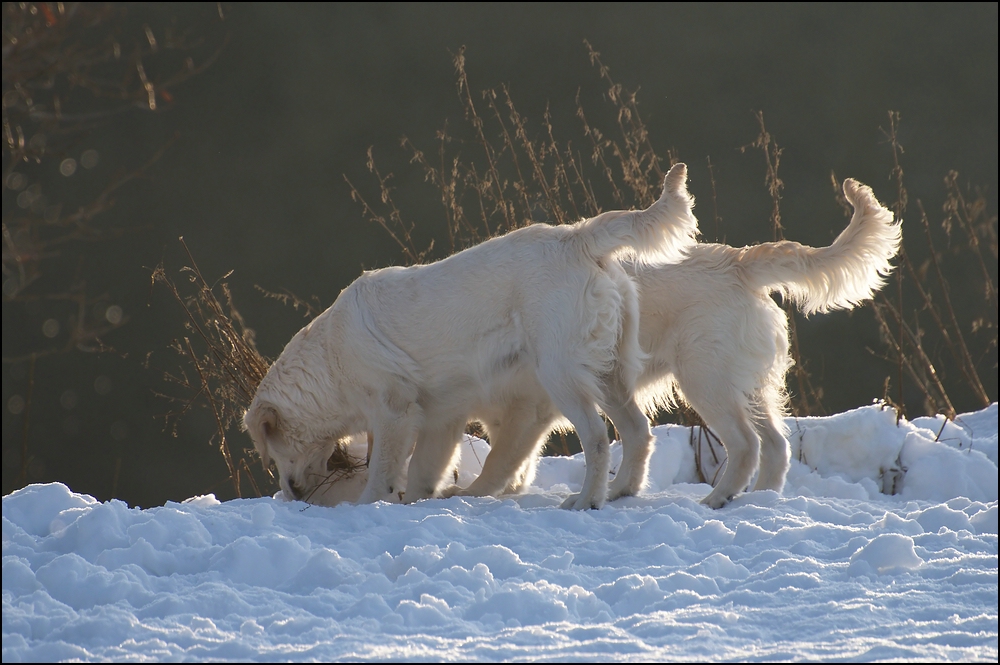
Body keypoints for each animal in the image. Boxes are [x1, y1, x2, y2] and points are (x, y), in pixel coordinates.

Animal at [243, 161, 700, 508]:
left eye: (273, 452)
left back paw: (587, 499)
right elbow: (423, 472)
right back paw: (622, 490)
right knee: (638, 431)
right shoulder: (439, 417)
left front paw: (368, 505)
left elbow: (383, 470)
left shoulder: (394, 410)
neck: (330, 361)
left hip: (562, 374)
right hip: (610, 373)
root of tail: (575, 237)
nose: (291, 491)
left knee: (598, 438)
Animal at [292, 174, 904, 506]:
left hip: (684, 379)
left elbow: (477, 464)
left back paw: (702, 499)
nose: (293, 490)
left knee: (733, 444)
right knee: (764, 444)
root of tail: (736, 261)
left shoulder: (509, 408)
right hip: (706, 380)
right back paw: (739, 500)